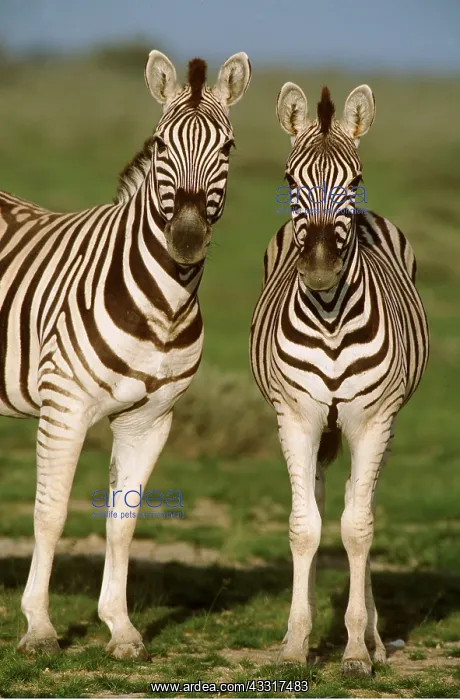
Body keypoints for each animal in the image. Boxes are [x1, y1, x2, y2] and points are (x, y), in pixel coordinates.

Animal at [0, 50, 251, 659]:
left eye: (228, 148)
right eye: (160, 145)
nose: (186, 239)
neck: (164, 306)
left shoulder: (150, 419)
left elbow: (123, 522)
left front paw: (120, 627)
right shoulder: (63, 408)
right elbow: (50, 513)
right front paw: (39, 628)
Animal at [250, 82, 428, 675]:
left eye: (353, 180)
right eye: (289, 180)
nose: (322, 271)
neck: (330, 317)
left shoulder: (372, 420)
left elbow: (359, 528)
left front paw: (354, 650)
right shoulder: (297, 417)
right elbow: (305, 526)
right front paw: (295, 644)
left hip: (378, 424)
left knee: (358, 502)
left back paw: (373, 636)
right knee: (327, 498)